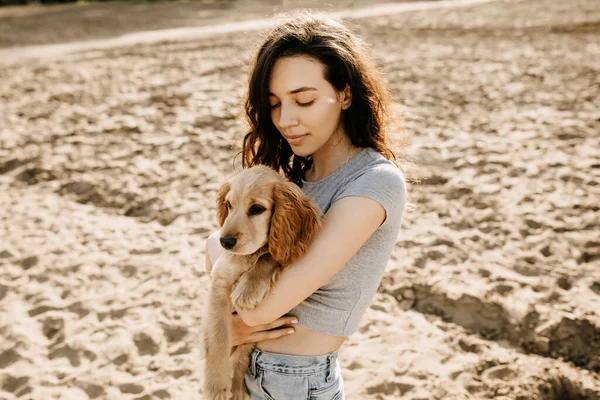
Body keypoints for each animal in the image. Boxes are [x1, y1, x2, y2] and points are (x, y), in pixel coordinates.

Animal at [202, 165, 324, 400]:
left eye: (257, 209)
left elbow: (269, 255)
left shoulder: (283, 248)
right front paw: (216, 385)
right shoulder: (219, 282)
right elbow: (218, 337)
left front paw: (248, 289)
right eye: (229, 205)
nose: (225, 242)